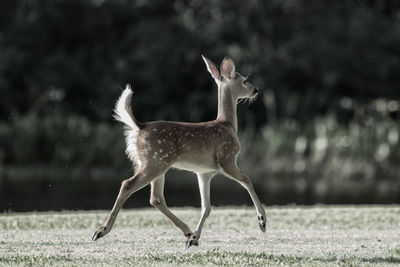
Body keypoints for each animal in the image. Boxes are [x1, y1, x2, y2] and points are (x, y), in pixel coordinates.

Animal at [92, 55, 268, 248]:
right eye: (244, 80)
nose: (256, 90)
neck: (227, 124)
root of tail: (139, 127)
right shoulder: (227, 159)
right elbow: (247, 180)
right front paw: (262, 221)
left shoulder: (204, 172)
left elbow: (207, 207)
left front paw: (194, 238)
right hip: (155, 161)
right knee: (127, 184)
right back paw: (101, 231)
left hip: (155, 163)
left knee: (156, 198)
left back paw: (188, 232)